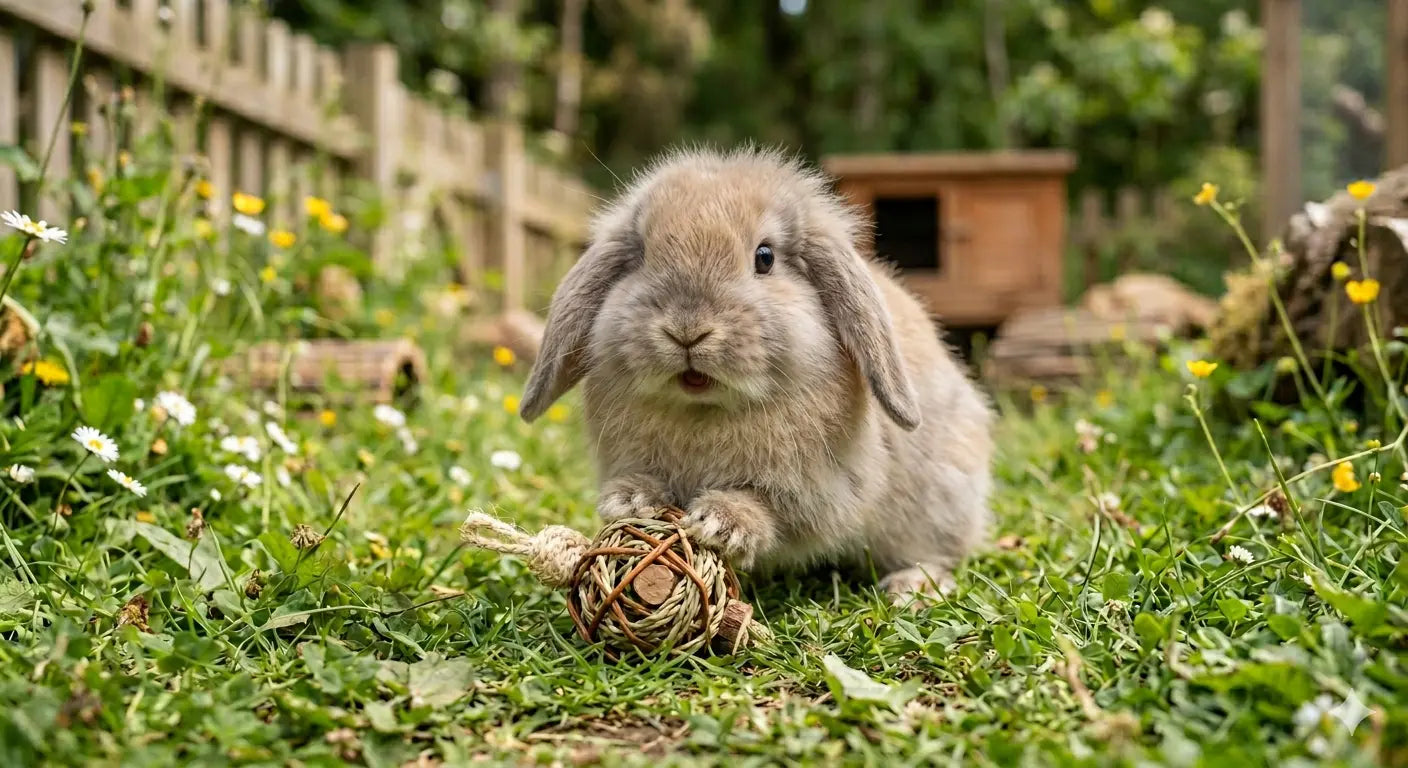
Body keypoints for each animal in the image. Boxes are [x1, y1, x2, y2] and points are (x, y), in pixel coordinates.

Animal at [517, 145, 995, 601]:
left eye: (764, 257)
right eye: (642, 256)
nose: (687, 329)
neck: (705, 408)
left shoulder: (820, 491)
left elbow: (778, 513)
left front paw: (722, 522)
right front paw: (631, 500)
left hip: (936, 504)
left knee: (936, 552)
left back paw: (910, 588)